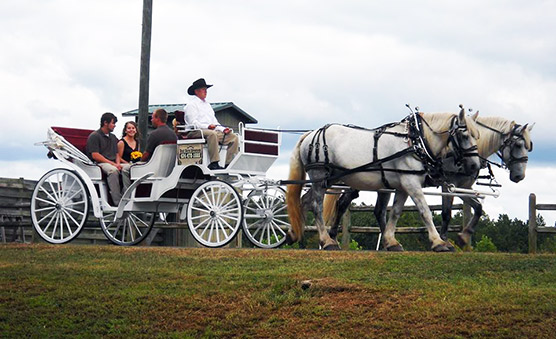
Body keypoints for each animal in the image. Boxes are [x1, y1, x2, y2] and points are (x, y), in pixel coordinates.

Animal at [284, 109, 480, 252]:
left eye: (476, 135)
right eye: (464, 135)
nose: (475, 166)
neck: (415, 141)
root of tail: (311, 133)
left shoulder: (403, 186)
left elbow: (395, 212)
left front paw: (391, 241)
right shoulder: (411, 183)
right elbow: (425, 211)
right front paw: (438, 242)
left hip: (328, 179)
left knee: (305, 200)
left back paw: (294, 234)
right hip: (319, 176)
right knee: (316, 205)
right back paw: (327, 241)